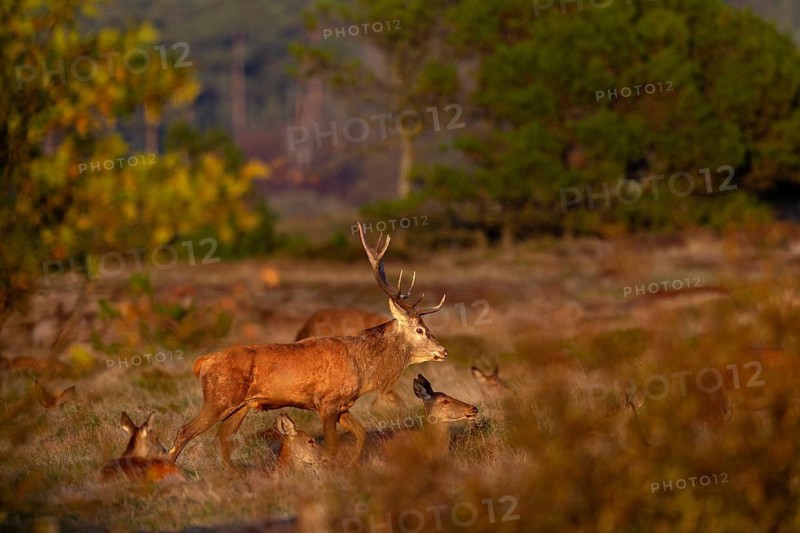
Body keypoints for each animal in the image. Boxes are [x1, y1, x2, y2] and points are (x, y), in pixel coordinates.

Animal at [168, 222, 448, 469]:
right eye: (420, 329)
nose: (443, 351)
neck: (362, 368)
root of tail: (202, 362)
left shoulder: (342, 405)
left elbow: (361, 434)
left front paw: (351, 465)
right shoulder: (326, 402)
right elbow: (333, 445)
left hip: (241, 406)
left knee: (222, 438)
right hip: (218, 398)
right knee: (185, 431)